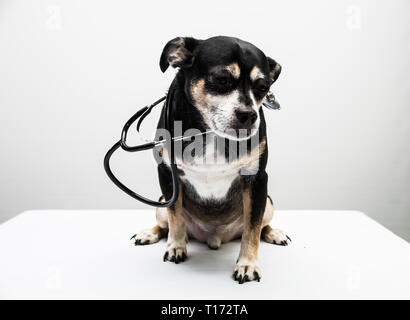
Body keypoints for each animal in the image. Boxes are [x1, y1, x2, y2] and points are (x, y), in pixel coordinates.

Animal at [131, 36, 288, 284]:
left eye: (263, 88)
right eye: (221, 79)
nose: (249, 115)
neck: (211, 133)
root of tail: (215, 237)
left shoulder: (256, 180)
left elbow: (252, 229)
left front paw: (248, 264)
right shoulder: (167, 174)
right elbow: (175, 217)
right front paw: (176, 247)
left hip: (268, 203)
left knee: (260, 224)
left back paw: (274, 233)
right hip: (160, 202)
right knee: (165, 223)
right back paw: (150, 233)